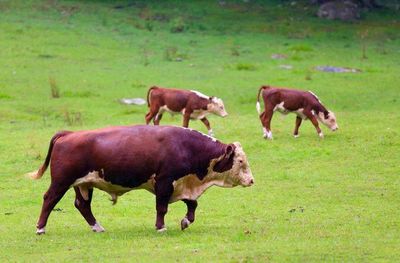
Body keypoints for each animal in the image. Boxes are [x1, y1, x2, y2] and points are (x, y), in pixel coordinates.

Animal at [27, 126, 253, 235]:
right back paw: (40, 228)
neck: (187, 146)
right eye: (241, 160)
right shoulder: (164, 182)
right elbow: (162, 207)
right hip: (61, 182)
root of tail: (69, 134)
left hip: (83, 184)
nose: (251, 180)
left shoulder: (182, 184)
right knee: (49, 199)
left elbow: (192, 204)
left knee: (82, 205)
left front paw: (186, 221)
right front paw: (161, 227)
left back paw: (97, 227)